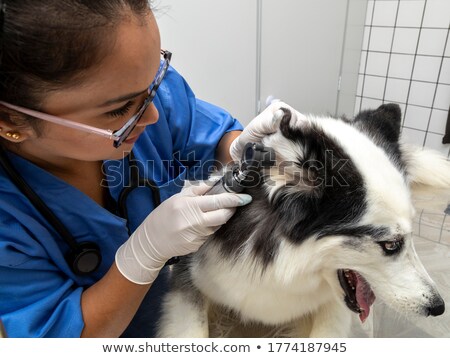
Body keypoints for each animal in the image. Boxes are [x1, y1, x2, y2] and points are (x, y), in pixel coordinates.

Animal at [156, 104, 448, 338]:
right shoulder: (189, 280)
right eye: (390, 245)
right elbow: (193, 331)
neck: (282, 267)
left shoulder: (330, 306)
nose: (438, 307)